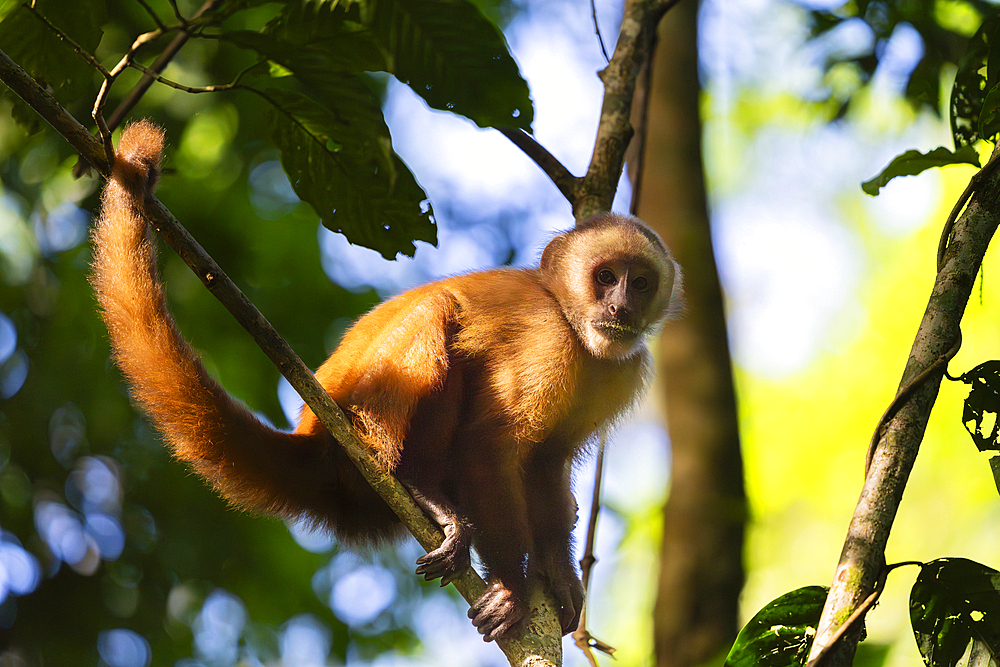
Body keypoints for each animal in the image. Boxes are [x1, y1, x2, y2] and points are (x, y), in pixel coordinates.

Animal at [90, 120, 684, 640]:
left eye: (640, 283)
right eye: (605, 277)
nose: (619, 306)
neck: (576, 330)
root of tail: (312, 441)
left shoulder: (622, 369)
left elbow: (546, 462)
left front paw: (559, 578)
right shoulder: (548, 340)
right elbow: (488, 446)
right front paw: (514, 589)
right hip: (355, 420)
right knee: (436, 319)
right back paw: (419, 485)